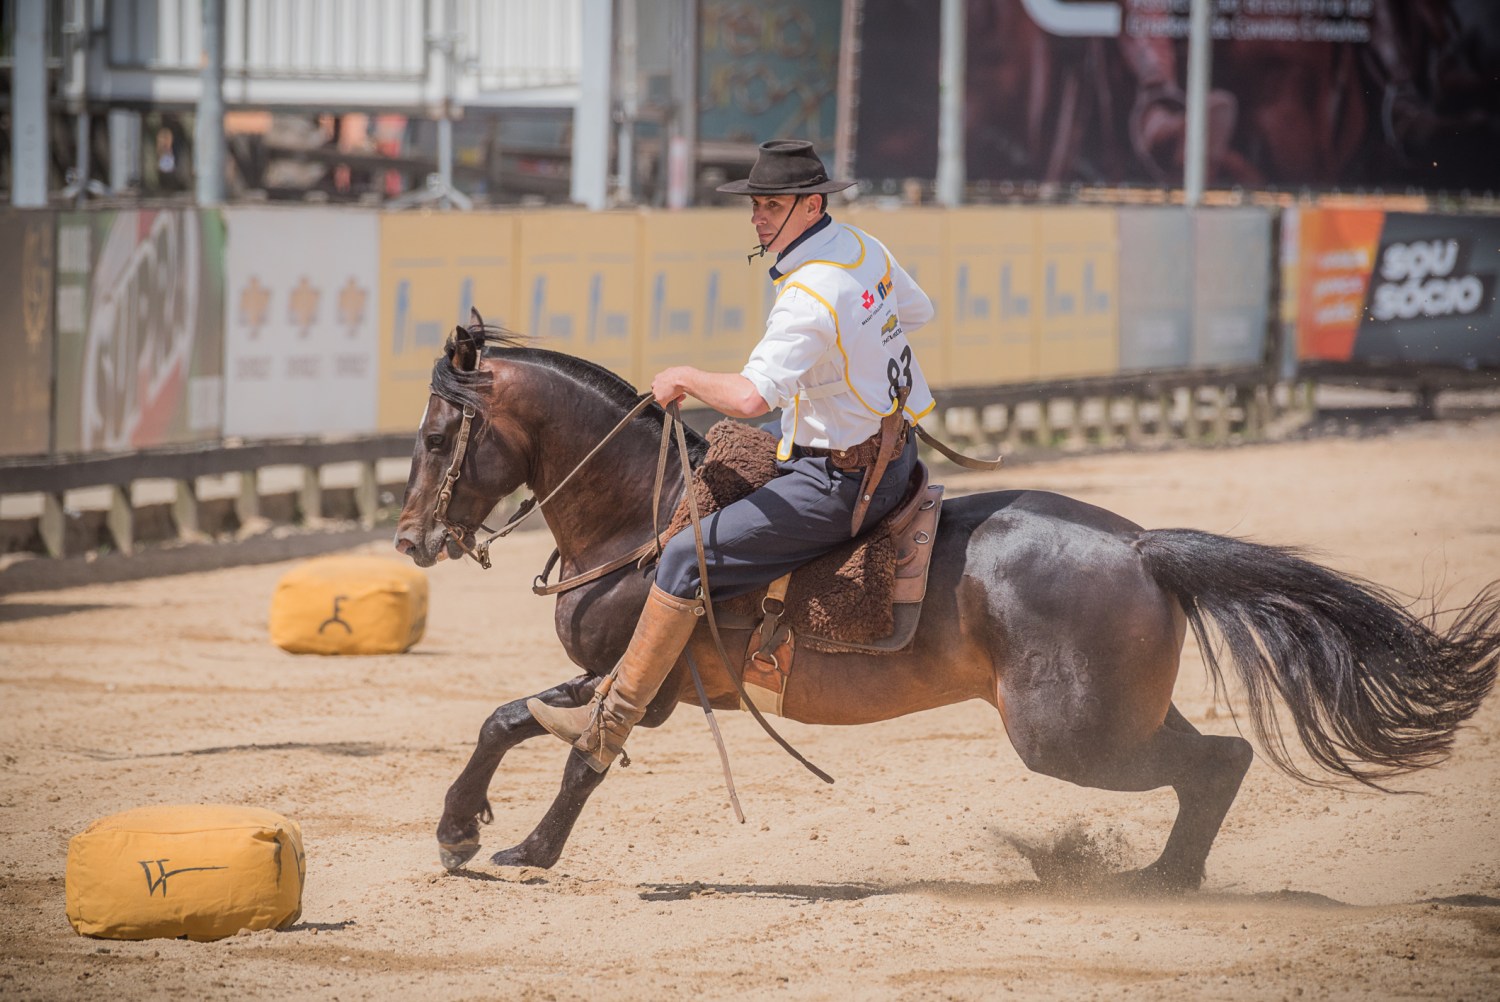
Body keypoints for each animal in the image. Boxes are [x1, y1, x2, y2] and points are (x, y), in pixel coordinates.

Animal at [390, 316, 1500, 888]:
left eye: (440, 436)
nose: (407, 541)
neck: (647, 515)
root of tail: (1142, 547)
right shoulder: (609, 678)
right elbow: (507, 723)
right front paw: (459, 829)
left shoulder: (638, 683)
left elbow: (571, 746)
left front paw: (514, 845)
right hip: (1114, 717)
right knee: (1217, 763)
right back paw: (1163, 879)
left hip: (1071, 738)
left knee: (1212, 764)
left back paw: (1153, 884)